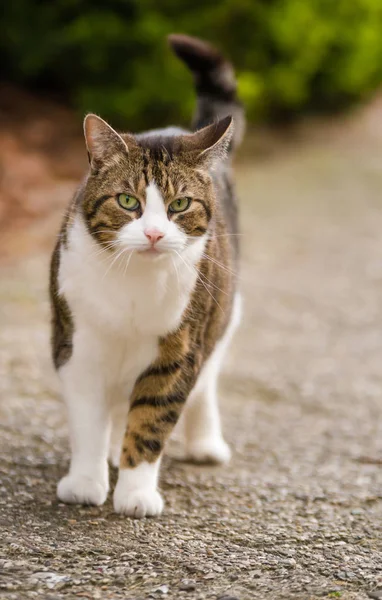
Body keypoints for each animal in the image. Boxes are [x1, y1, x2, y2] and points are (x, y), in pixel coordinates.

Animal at [50, 34, 245, 516]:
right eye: (127, 201)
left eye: (179, 205)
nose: (155, 233)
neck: (133, 282)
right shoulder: (76, 343)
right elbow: (87, 419)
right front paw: (86, 481)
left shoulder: (180, 349)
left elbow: (152, 418)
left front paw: (135, 492)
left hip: (224, 313)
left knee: (206, 381)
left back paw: (205, 442)